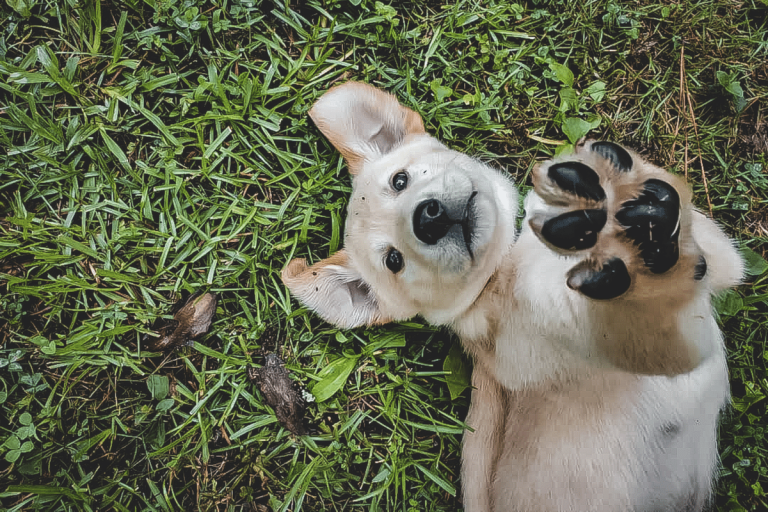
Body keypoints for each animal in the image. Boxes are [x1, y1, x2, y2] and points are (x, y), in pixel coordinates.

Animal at [282, 82, 744, 510]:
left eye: (400, 180)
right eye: (393, 260)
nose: (428, 217)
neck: (506, 267)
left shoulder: (720, 263)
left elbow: (685, 219)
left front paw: (610, 180)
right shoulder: (653, 343)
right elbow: (645, 309)